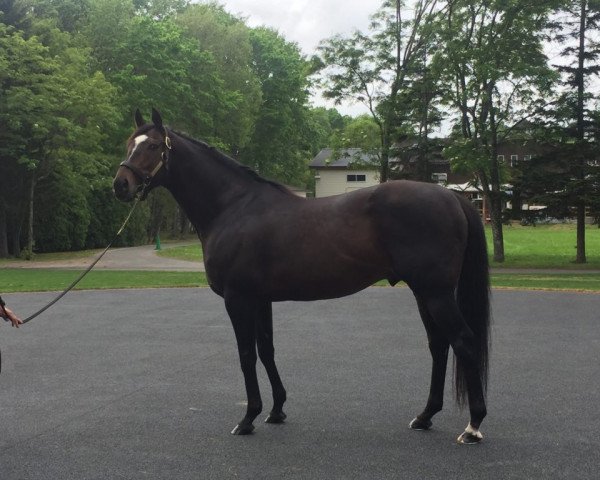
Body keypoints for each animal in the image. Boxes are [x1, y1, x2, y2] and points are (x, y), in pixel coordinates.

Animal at [113, 109, 492, 446]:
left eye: (152, 146)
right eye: (129, 143)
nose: (120, 185)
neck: (233, 208)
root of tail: (450, 196)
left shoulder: (238, 299)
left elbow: (246, 355)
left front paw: (248, 418)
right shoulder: (260, 299)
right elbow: (266, 349)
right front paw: (276, 409)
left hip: (436, 293)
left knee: (463, 341)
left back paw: (473, 426)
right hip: (423, 292)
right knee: (439, 345)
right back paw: (425, 416)